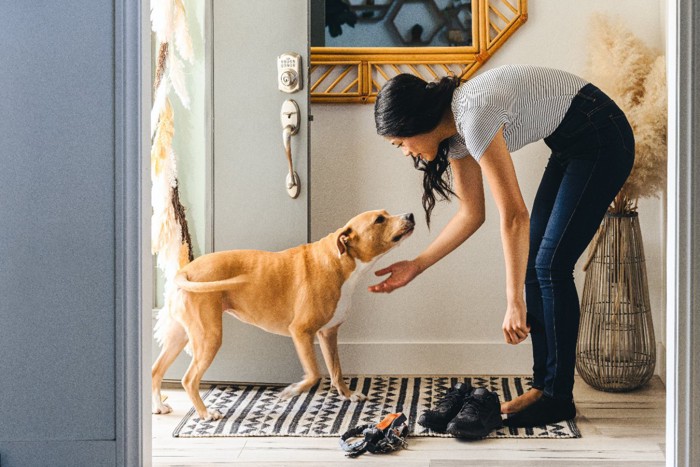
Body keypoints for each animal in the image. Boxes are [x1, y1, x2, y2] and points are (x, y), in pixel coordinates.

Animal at [152, 210, 416, 422]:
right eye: (379, 219)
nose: (410, 215)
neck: (339, 261)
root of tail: (185, 271)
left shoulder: (328, 334)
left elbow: (336, 371)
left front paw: (348, 395)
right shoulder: (301, 332)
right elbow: (314, 374)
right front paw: (293, 390)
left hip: (180, 336)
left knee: (156, 369)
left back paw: (158, 406)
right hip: (209, 337)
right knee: (189, 379)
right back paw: (205, 413)